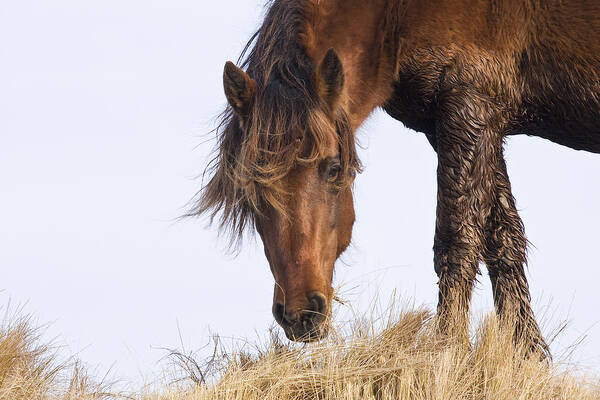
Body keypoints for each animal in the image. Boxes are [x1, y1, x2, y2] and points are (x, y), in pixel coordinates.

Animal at [193, 0, 600, 354]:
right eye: (248, 187)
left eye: (333, 168)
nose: (300, 314)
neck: (393, 14)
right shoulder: (473, 124)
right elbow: (503, 239)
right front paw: (526, 359)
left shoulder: (468, 107)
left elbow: (457, 241)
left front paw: (446, 352)